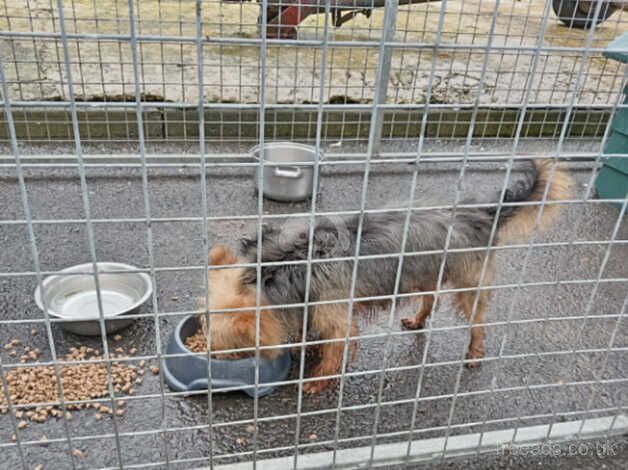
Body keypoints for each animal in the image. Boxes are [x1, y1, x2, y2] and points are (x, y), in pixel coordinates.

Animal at [200, 160, 568, 394]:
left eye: (227, 344)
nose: (208, 357)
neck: (283, 267)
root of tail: (482, 212)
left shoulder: (335, 313)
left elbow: (335, 348)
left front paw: (318, 380)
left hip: (469, 283)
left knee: (478, 320)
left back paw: (475, 353)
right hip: (425, 270)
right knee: (430, 298)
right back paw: (418, 320)